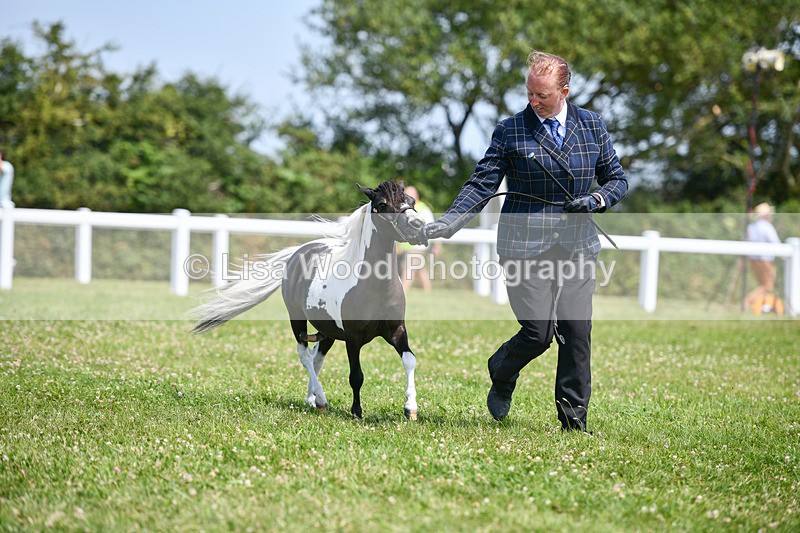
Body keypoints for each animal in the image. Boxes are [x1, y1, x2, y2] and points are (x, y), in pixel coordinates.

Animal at [191, 181, 429, 420]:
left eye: (411, 201)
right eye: (382, 204)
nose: (418, 227)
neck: (373, 288)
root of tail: (296, 254)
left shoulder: (396, 330)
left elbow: (410, 360)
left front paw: (411, 409)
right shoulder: (353, 338)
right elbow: (356, 376)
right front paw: (357, 412)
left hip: (328, 331)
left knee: (316, 359)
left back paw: (312, 399)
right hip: (297, 320)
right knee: (305, 356)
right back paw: (321, 400)